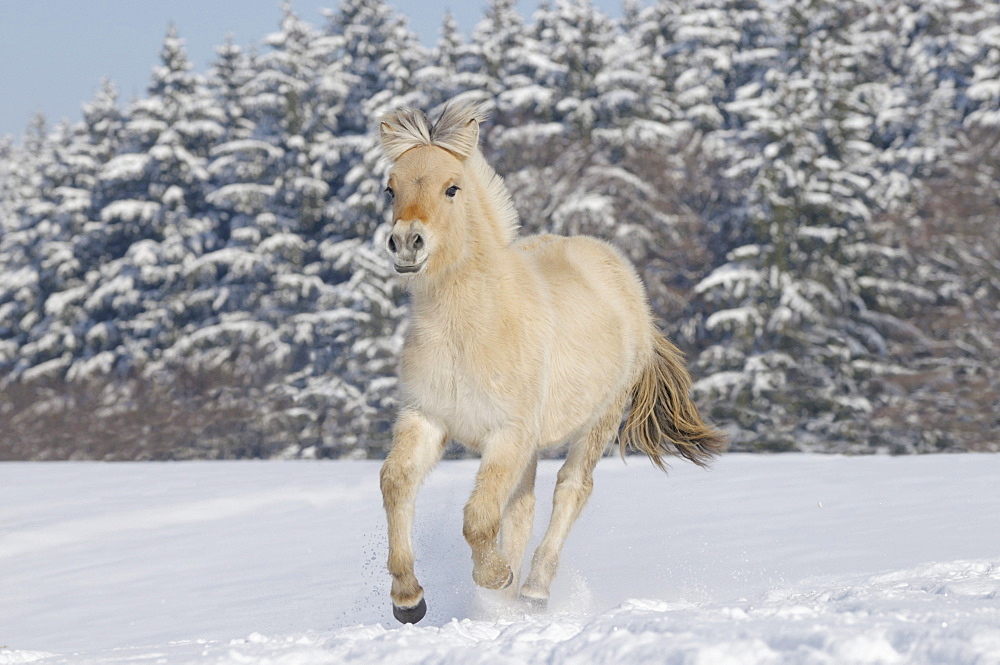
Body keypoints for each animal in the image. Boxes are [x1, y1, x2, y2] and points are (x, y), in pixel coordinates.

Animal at [372, 98, 724, 624]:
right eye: (390, 187)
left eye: (451, 188)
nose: (407, 243)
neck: (468, 329)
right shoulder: (427, 417)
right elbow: (396, 483)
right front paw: (409, 600)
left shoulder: (509, 434)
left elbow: (478, 518)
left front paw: (495, 577)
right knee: (524, 506)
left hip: (599, 420)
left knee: (570, 489)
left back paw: (533, 589)